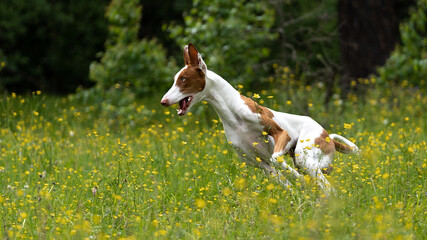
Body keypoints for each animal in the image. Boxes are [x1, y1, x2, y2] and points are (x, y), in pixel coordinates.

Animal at [160, 43, 358, 193]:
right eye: (175, 79)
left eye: (183, 79)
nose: (163, 101)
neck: (232, 114)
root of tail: (326, 133)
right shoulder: (261, 166)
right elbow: (287, 182)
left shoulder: (280, 134)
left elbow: (278, 160)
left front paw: (297, 179)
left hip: (305, 157)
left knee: (329, 189)